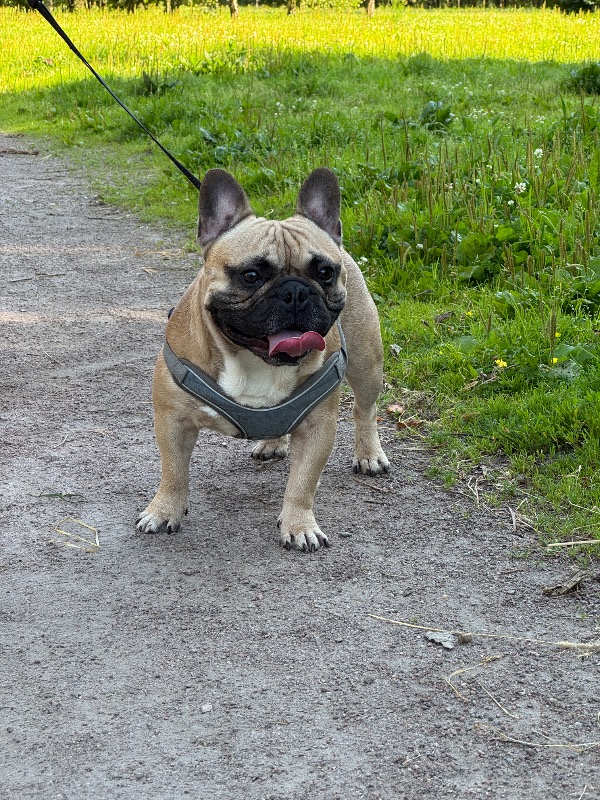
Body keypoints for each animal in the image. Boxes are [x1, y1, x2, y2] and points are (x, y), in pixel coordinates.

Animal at [136, 167, 389, 551]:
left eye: (324, 272)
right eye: (251, 275)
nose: (295, 291)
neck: (255, 362)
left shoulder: (318, 428)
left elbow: (302, 483)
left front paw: (300, 525)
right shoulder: (173, 421)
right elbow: (173, 472)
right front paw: (164, 510)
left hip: (366, 364)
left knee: (365, 410)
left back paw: (369, 454)